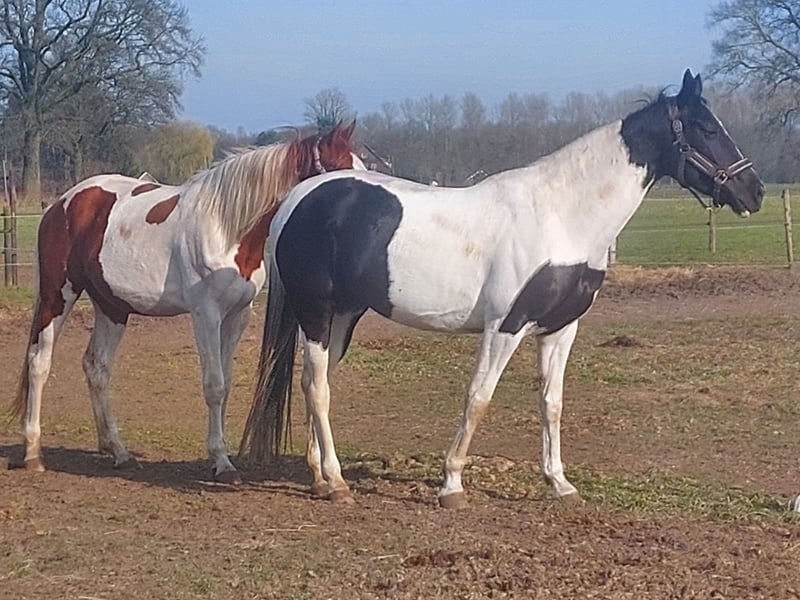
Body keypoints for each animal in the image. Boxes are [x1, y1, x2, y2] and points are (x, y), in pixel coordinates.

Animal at [12, 121, 364, 484]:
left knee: (97, 367)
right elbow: (214, 385)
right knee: (39, 362)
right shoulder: (206, 314)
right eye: (338, 169)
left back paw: (118, 451)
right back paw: (33, 452)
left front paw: (220, 454)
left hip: (112, 308)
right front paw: (221, 461)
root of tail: (62, 203)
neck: (227, 227)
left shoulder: (238, 315)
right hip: (57, 295)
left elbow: (225, 384)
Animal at [240, 70, 764, 507]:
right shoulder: (505, 327)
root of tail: (298, 198)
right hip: (315, 312)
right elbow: (479, 397)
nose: (754, 192)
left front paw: (559, 483)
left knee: (319, 383)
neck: (563, 217)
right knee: (315, 386)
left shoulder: (560, 330)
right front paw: (451, 485)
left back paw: (321, 476)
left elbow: (551, 403)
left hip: (343, 316)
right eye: (708, 129)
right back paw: (336, 483)